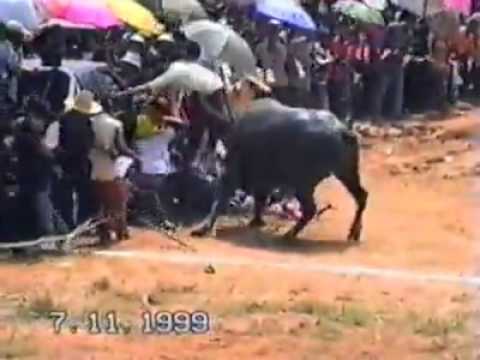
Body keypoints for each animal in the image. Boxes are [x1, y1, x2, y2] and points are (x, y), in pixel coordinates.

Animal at [191, 98, 368, 242]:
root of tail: (342, 131)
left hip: (304, 183)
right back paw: (354, 232)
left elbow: (219, 202)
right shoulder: (262, 181)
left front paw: (201, 229)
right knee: (361, 196)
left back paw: (289, 234)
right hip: (346, 173)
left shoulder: (234, 176)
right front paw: (256, 221)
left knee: (310, 209)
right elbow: (259, 200)